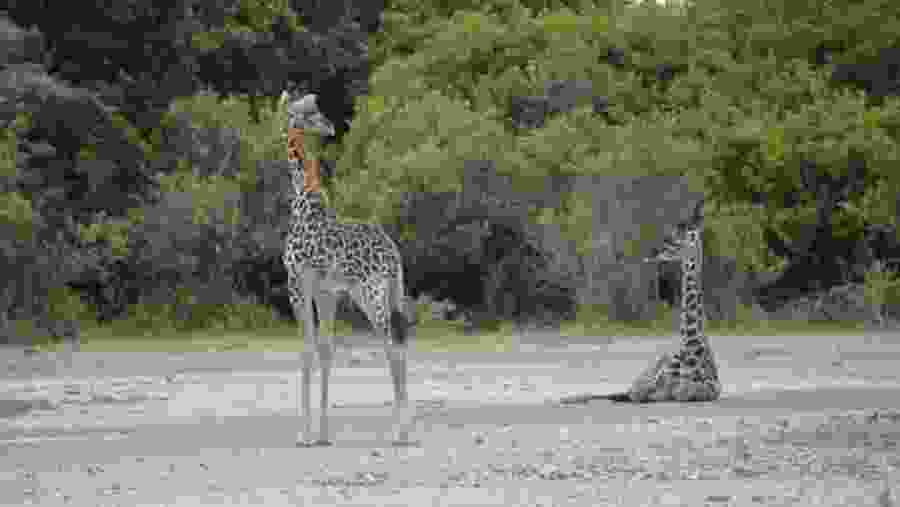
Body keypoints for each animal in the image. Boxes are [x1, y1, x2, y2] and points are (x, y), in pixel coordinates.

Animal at [280, 91, 414, 446]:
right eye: (308, 114)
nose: (329, 127)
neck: (303, 198)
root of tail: (394, 254)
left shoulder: (297, 281)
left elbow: (306, 348)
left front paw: (304, 434)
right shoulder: (327, 291)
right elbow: (325, 349)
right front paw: (323, 434)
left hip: (371, 293)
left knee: (391, 347)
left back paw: (399, 433)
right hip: (392, 292)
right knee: (401, 343)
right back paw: (402, 429)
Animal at [560, 199, 721, 404]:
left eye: (672, 241)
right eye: (669, 236)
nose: (652, 252)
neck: (689, 345)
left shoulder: (706, 388)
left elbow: (683, 391)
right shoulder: (651, 387)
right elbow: (647, 392)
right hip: (644, 377)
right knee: (621, 392)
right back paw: (570, 398)